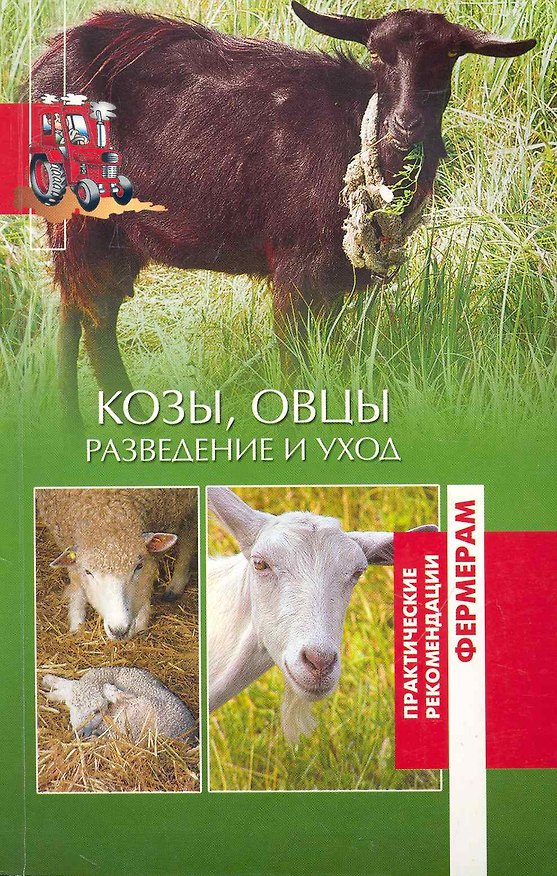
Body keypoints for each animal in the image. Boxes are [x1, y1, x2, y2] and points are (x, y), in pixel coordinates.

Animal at [30, 5, 535, 423]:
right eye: (376, 53)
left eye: (448, 54)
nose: (405, 125)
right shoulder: (298, 268)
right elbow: (295, 360)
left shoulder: (335, 280)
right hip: (86, 226)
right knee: (94, 315)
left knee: (76, 310)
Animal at [36, 488, 197, 639]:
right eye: (88, 572)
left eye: (139, 566)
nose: (119, 630)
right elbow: (77, 583)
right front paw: (76, 625)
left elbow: (145, 586)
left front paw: (141, 626)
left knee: (190, 534)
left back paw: (175, 586)